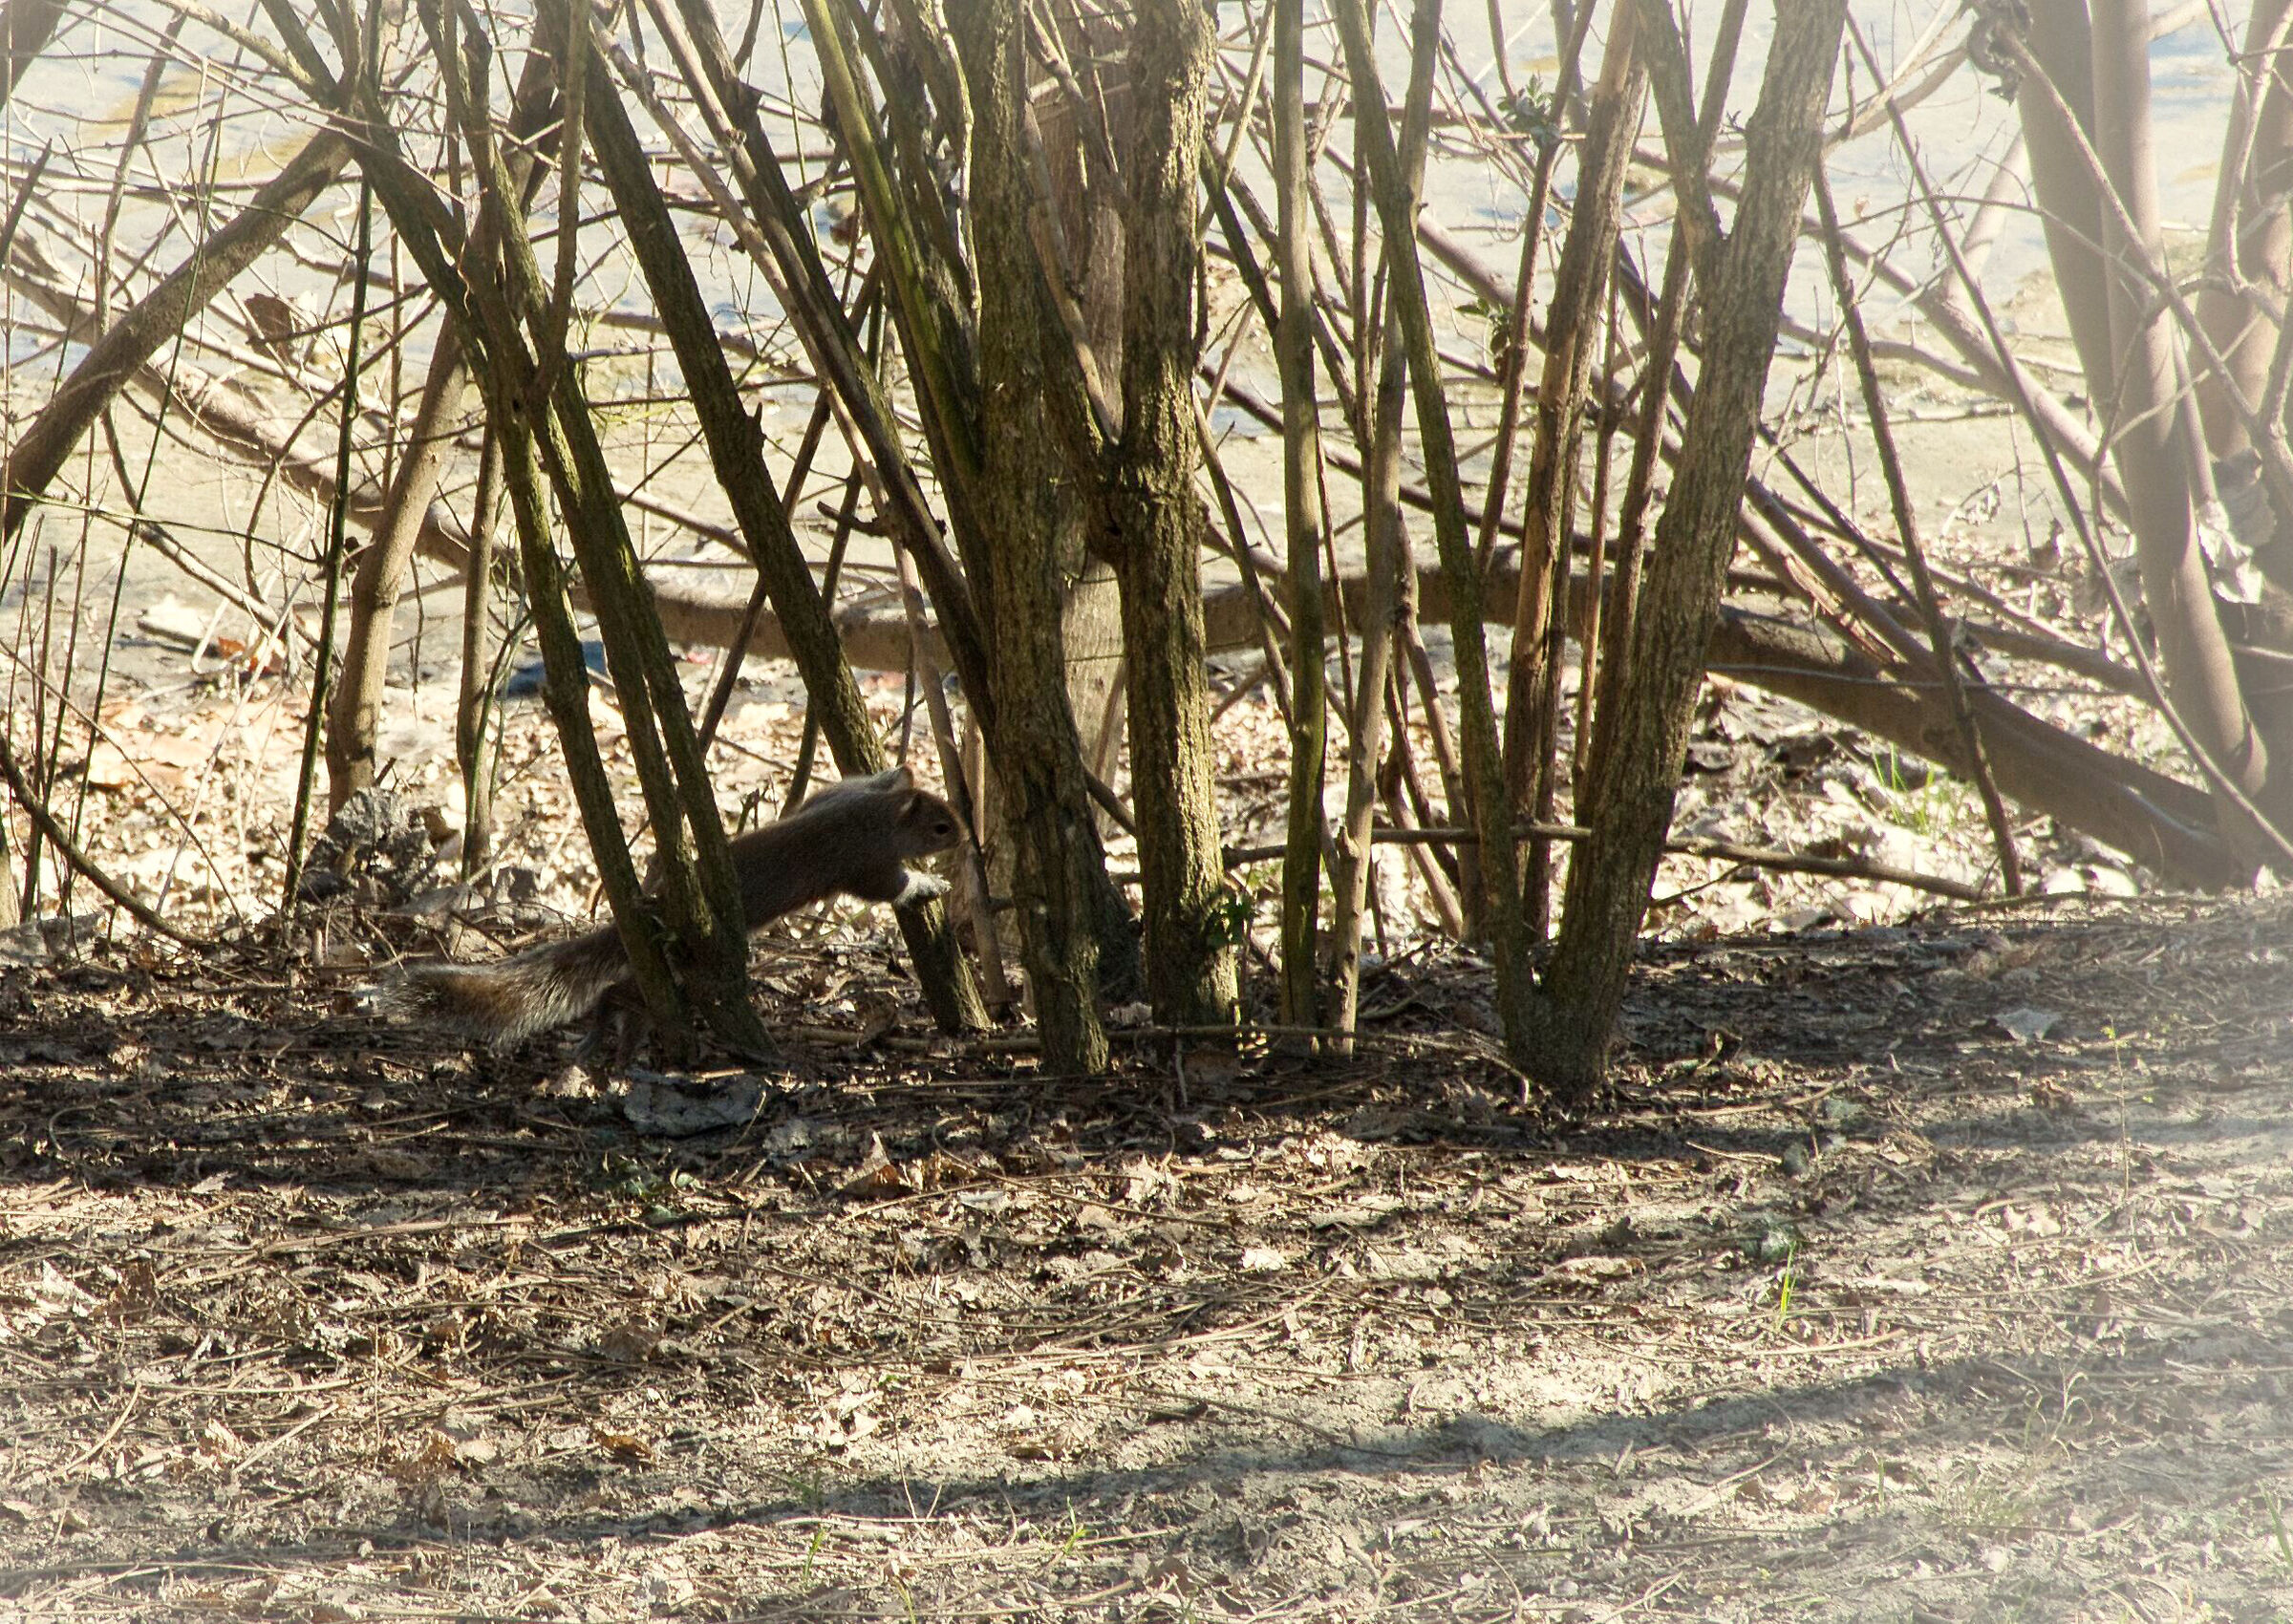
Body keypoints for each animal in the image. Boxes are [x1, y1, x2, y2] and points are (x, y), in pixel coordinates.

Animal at [394, 766, 961, 1045]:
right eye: (940, 827)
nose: (965, 839)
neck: (877, 817)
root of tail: (657, 910)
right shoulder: (861, 861)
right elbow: (889, 887)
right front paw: (928, 882)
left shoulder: (837, 799)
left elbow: (835, 787)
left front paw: (894, 766)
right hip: (682, 958)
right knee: (624, 992)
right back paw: (606, 1027)